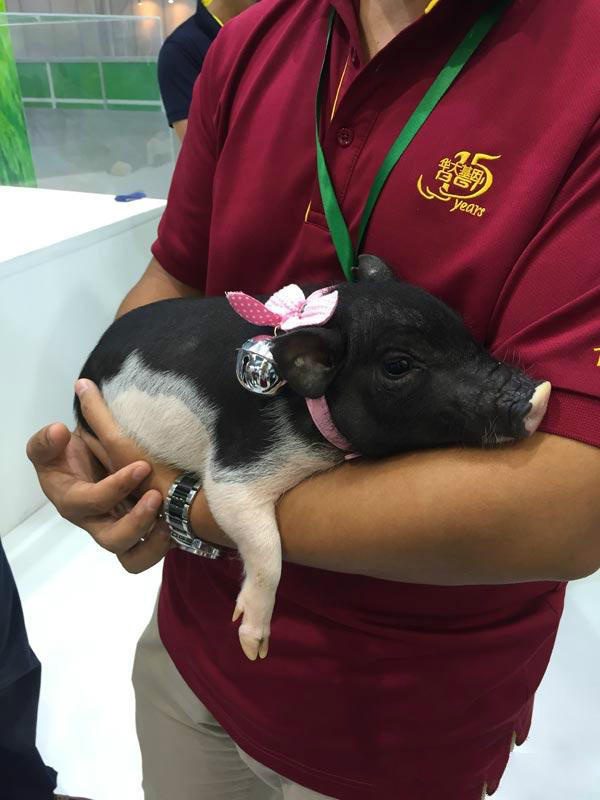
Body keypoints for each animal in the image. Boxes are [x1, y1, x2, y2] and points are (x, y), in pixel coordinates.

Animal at [75, 255, 551, 661]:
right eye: (397, 365)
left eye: (462, 331)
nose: (539, 395)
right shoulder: (238, 462)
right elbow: (263, 543)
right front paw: (253, 648)